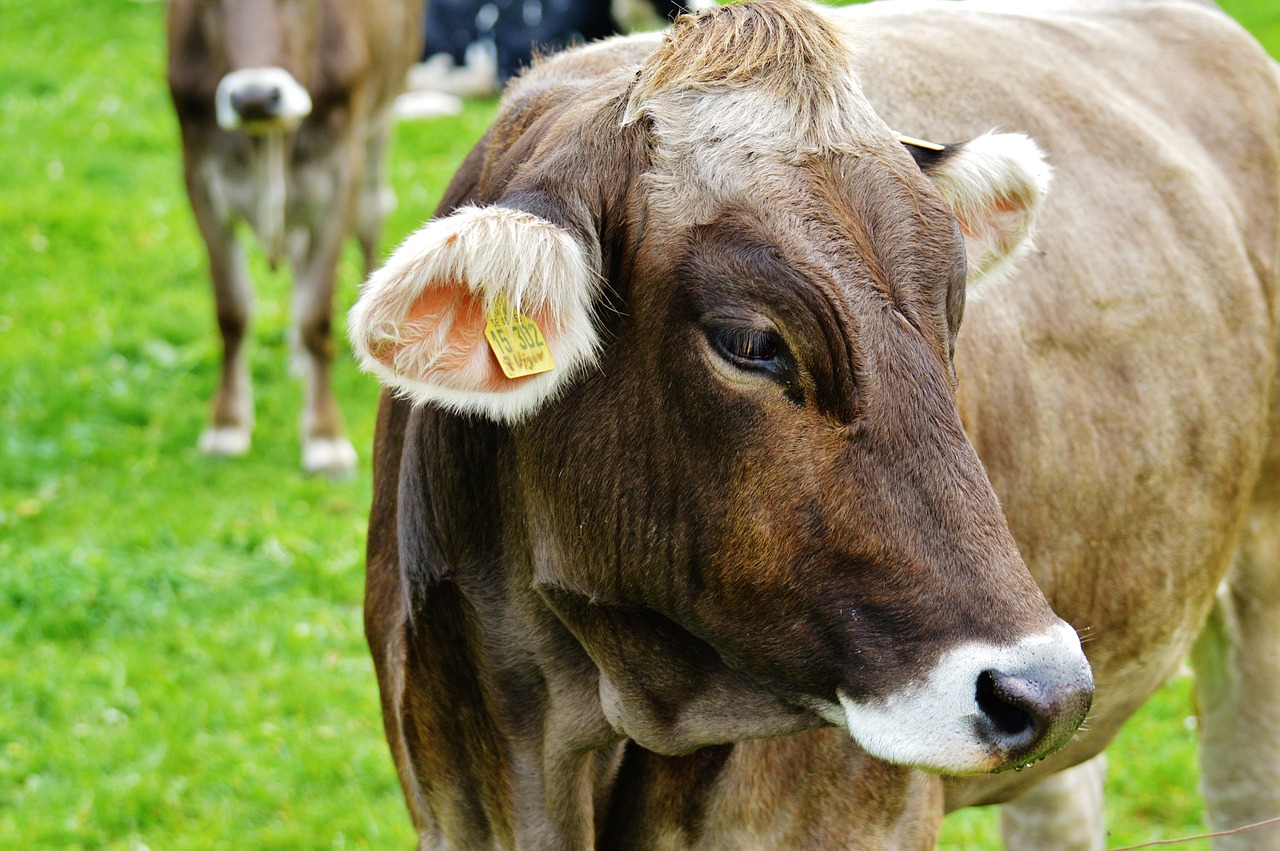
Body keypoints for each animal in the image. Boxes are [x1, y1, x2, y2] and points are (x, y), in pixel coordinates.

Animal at [166, 0, 419, 473]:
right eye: (207, 4)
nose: (253, 98)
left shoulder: (342, 169)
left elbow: (315, 314)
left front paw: (324, 436)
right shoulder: (198, 174)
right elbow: (232, 309)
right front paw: (226, 423)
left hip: (383, 117)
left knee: (373, 212)